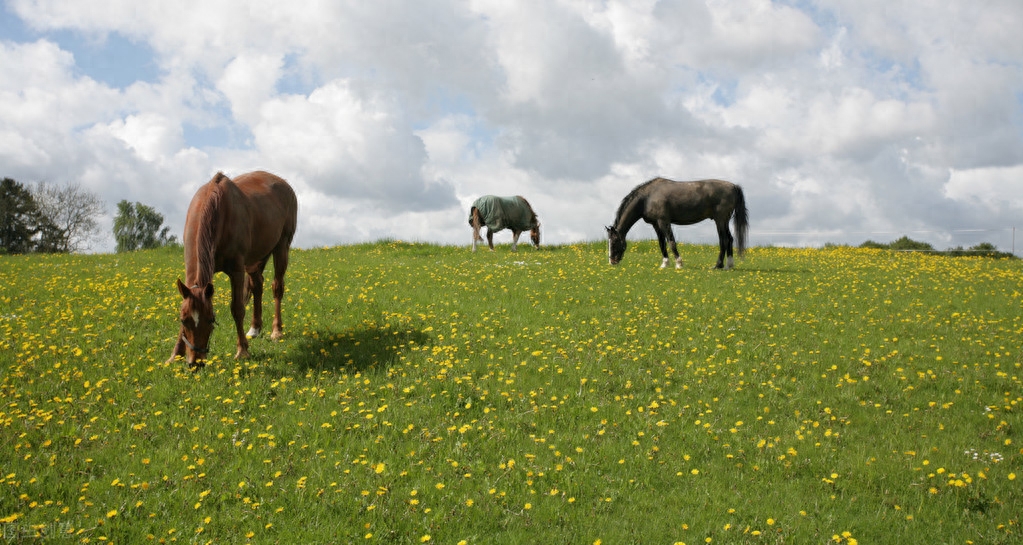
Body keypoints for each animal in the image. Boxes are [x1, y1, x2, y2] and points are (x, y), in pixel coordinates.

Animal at [167, 169, 296, 366]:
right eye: (183, 320)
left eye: (211, 319)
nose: (196, 362)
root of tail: (284, 183)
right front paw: (175, 355)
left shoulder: (236, 270)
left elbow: (237, 308)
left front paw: (242, 351)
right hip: (255, 259)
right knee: (257, 285)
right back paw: (254, 329)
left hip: (281, 247)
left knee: (277, 288)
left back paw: (276, 331)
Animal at [601, 177, 748, 267]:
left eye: (614, 241)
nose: (612, 262)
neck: (647, 198)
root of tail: (734, 186)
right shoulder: (656, 224)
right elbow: (662, 243)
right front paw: (665, 263)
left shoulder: (664, 221)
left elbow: (671, 242)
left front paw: (679, 263)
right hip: (724, 221)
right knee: (730, 239)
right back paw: (729, 265)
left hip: (720, 220)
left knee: (724, 240)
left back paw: (718, 265)